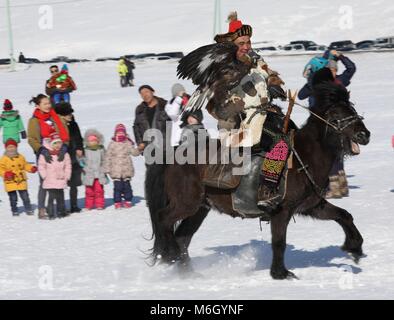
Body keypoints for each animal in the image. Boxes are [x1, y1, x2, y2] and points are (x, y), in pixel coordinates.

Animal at [144, 81, 370, 278]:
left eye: (351, 109)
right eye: (336, 115)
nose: (364, 134)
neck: (303, 157)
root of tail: (173, 155)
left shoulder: (312, 206)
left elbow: (343, 215)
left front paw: (355, 247)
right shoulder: (281, 211)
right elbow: (279, 242)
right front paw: (280, 273)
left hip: (200, 209)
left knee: (183, 237)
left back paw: (187, 272)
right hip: (187, 204)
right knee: (163, 219)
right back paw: (171, 254)